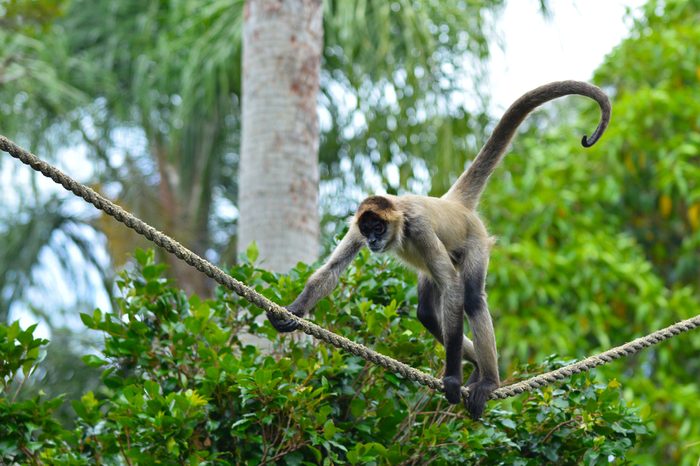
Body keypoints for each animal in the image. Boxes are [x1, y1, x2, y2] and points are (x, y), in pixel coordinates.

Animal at [270, 80, 608, 418]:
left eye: (379, 228)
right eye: (368, 230)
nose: (374, 242)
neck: (400, 217)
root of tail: (453, 203)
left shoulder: (418, 227)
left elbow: (454, 287)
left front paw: (453, 379)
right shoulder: (356, 224)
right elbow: (331, 270)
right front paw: (292, 312)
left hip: (475, 243)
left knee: (470, 298)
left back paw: (487, 380)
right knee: (427, 314)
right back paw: (475, 367)